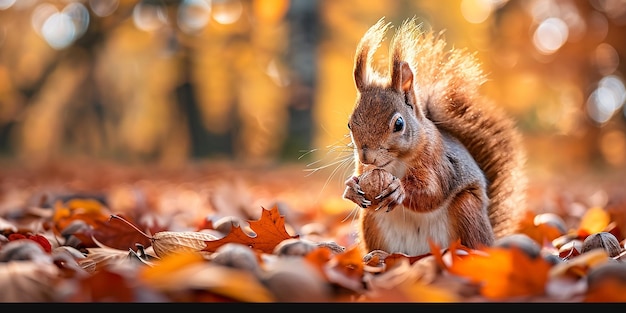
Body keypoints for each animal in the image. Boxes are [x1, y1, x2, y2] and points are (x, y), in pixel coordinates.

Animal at [342, 17, 528, 256]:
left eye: (399, 124)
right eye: (350, 124)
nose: (367, 156)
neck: (395, 162)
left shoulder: (437, 161)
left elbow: (432, 192)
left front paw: (398, 189)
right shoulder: (363, 168)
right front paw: (351, 189)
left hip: (467, 210)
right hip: (370, 221)